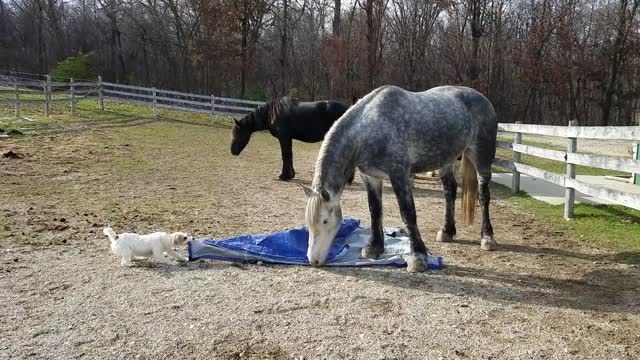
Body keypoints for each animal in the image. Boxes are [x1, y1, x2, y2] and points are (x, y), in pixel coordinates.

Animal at [302, 85, 498, 270]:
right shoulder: (370, 177)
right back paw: (447, 231)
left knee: (483, 196)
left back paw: (487, 238)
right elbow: (375, 210)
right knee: (450, 191)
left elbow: (408, 213)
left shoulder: (399, 175)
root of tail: (483, 99)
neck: (371, 128)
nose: (314, 260)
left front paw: (418, 257)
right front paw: (374, 247)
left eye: (325, 221)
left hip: (481, 157)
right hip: (446, 161)